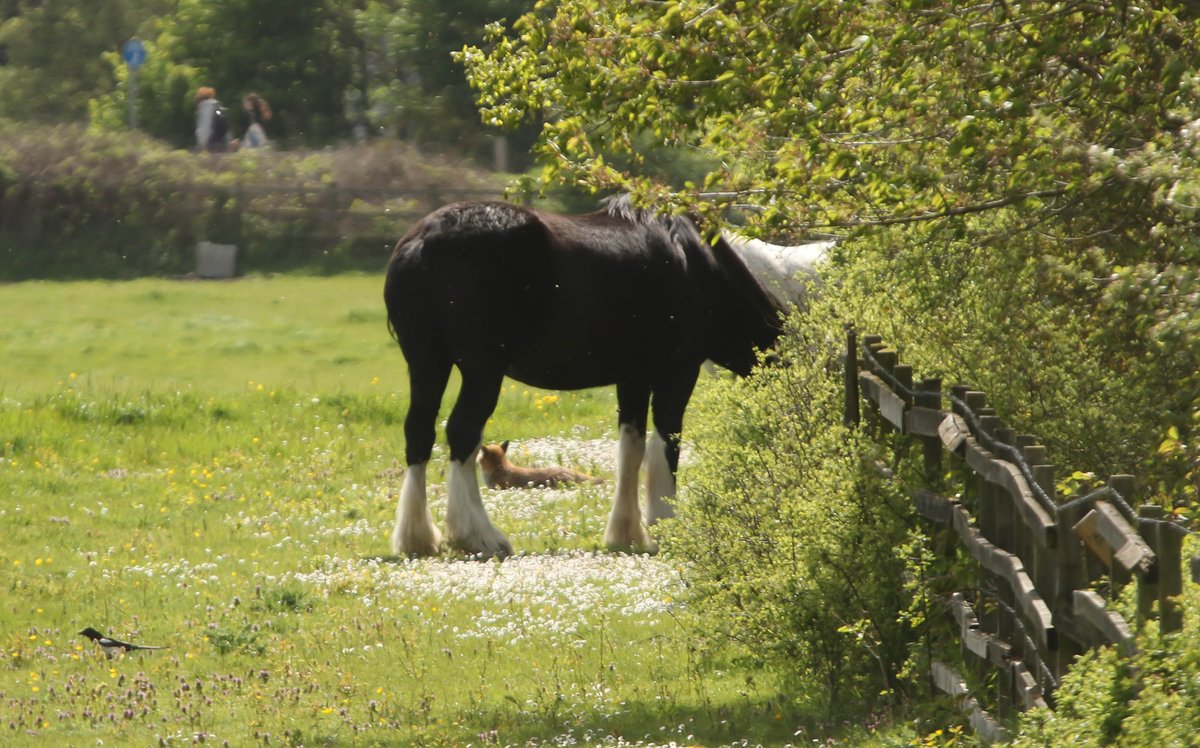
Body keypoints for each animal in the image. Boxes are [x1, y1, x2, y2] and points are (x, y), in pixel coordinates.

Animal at [384, 195, 792, 559]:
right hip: (481, 371)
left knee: (418, 434)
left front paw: (626, 532)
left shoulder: (633, 378)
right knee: (462, 433)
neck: (695, 264)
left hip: (426, 364)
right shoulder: (677, 373)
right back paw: (479, 537)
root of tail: (422, 240)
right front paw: (664, 524)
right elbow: (667, 444)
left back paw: (418, 538)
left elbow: (631, 448)